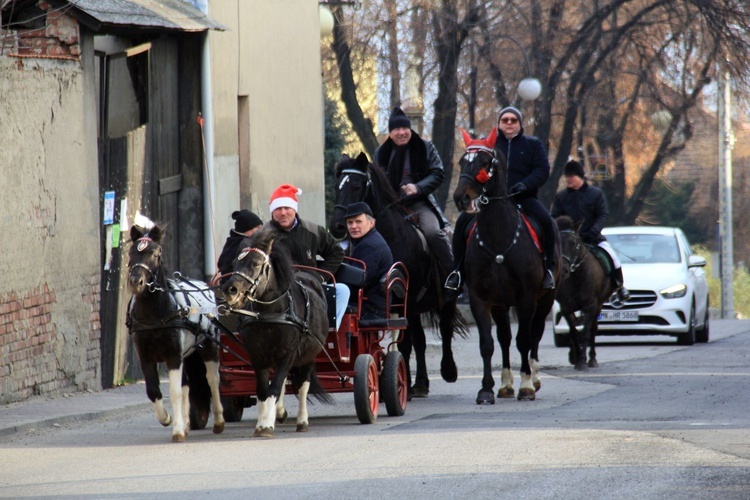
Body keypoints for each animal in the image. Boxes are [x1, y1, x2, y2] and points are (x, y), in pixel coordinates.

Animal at [126, 223, 225, 442]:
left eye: (155, 254)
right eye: (130, 252)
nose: (135, 282)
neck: (155, 316)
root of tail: (204, 285)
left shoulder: (173, 356)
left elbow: (174, 391)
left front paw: (177, 429)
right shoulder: (146, 357)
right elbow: (154, 391)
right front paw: (167, 419)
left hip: (208, 347)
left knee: (213, 380)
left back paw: (219, 421)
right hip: (187, 353)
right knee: (187, 384)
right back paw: (187, 423)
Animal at [219, 225, 334, 436]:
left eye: (255, 263)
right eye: (234, 262)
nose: (230, 289)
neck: (270, 315)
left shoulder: (288, 354)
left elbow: (276, 387)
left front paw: (266, 424)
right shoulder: (258, 355)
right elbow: (265, 389)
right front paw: (263, 421)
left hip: (309, 354)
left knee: (303, 384)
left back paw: (302, 420)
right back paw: (279, 412)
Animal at [330, 152, 468, 398]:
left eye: (356, 186)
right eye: (337, 186)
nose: (337, 226)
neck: (392, 237)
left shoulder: (406, 299)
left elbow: (405, 341)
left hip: (445, 300)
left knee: (444, 329)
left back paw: (447, 370)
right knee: (421, 340)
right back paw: (421, 382)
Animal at [450, 129, 560, 402]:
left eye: (484, 162)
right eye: (462, 162)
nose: (461, 198)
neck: (498, 236)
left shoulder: (527, 297)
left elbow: (524, 340)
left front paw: (527, 385)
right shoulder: (481, 298)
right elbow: (487, 343)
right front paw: (486, 389)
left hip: (546, 298)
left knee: (535, 333)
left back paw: (534, 377)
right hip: (501, 303)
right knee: (504, 337)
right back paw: (506, 384)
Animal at [556, 213, 612, 370]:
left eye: (573, 242)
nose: (563, 270)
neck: (576, 276)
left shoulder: (590, 306)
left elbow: (586, 332)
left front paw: (582, 360)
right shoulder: (565, 307)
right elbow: (574, 332)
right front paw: (576, 358)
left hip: (599, 305)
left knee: (593, 329)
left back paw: (592, 358)